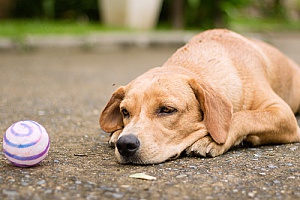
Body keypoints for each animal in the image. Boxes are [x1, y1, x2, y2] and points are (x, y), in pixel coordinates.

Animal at [99, 29, 300, 164]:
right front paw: (117, 131)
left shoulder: (283, 114)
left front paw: (211, 138)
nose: (125, 144)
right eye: (125, 112)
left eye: (167, 110)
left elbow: (242, 117)